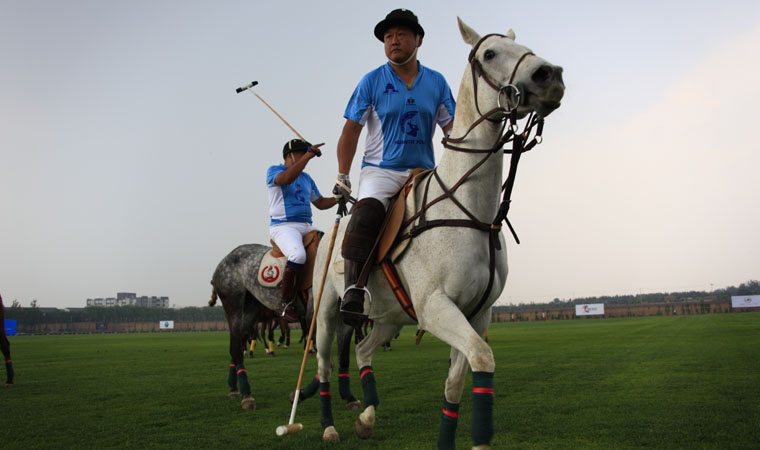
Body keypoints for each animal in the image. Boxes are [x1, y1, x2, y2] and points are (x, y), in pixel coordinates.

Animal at [210, 243, 360, 410]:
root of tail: (223, 261)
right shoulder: (314, 317)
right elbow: (326, 360)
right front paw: (299, 394)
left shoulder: (345, 319)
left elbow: (343, 357)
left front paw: (349, 397)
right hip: (233, 302)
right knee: (237, 346)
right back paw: (247, 395)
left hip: (252, 307)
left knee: (239, 342)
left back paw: (234, 388)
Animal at [313, 18, 564, 448]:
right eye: (489, 54)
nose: (551, 77)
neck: (472, 211)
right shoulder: (435, 307)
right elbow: (483, 358)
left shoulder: (477, 312)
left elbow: (456, 383)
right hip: (328, 313)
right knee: (325, 364)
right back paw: (330, 425)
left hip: (390, 315)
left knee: (363, 349)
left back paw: (366, 416)